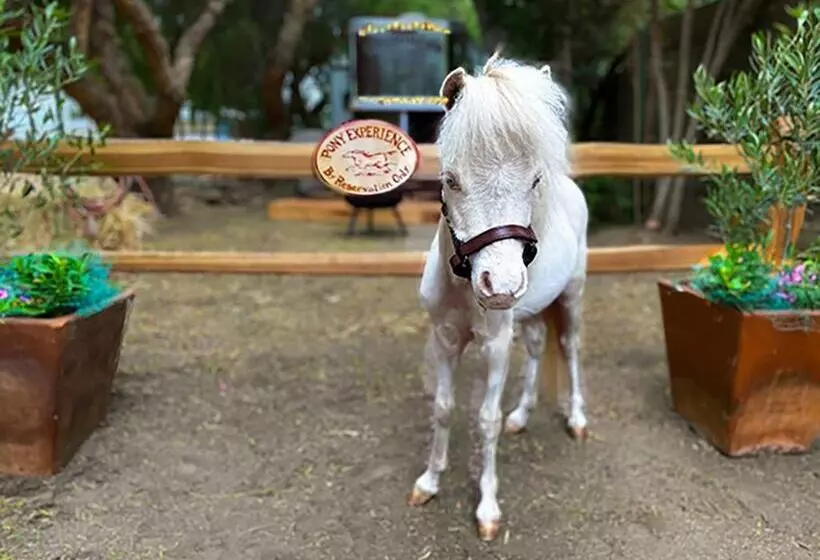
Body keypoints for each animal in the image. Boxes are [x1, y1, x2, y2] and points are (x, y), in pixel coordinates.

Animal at [408, 52, 589, 541]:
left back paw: (577, 420)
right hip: (530, 312)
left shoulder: (494, 348)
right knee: (537, 347)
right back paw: (521, 416)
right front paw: (429, 481)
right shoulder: (445, 339)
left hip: (570, 297)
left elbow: (484, 420)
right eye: (451, 180)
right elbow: (443, 408)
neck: (463, 289)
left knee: (568, 348)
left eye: (534, 181)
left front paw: (487, 509)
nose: (501, 286)